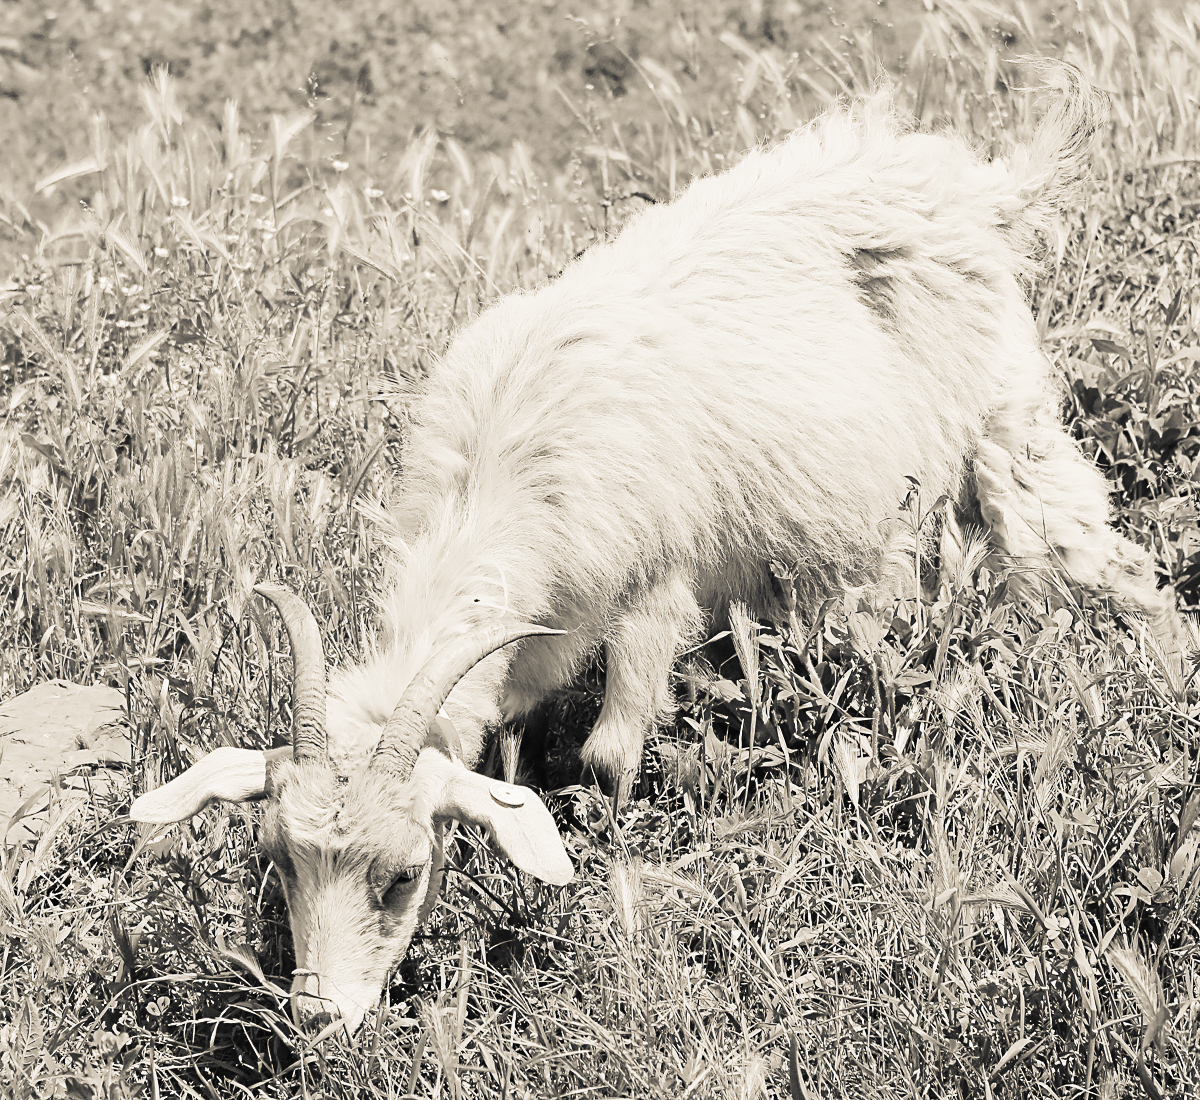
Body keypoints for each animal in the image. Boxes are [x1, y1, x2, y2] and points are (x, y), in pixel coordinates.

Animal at [129, 70, 1186, 1036]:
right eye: (277, 859)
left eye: (403, 874)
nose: (319, 1019)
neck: (501, 472)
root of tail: (975, 184)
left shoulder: (654, 588)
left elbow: (606, 757)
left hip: (1006, 429)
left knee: (1107, 565)